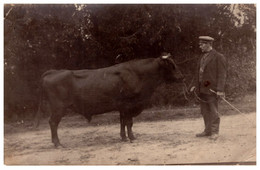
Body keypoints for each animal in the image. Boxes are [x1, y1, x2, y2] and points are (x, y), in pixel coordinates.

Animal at [34, 53, 184, 147]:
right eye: (171, 65)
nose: (181, 77)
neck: (137, 74)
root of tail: (54, 71)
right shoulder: (129, 105)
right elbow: (129, 122)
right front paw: (132, 137)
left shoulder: (122, 107)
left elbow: (122, 122)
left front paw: (123, 137)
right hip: (58, 108)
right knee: (53, 123)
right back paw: (58, 143)